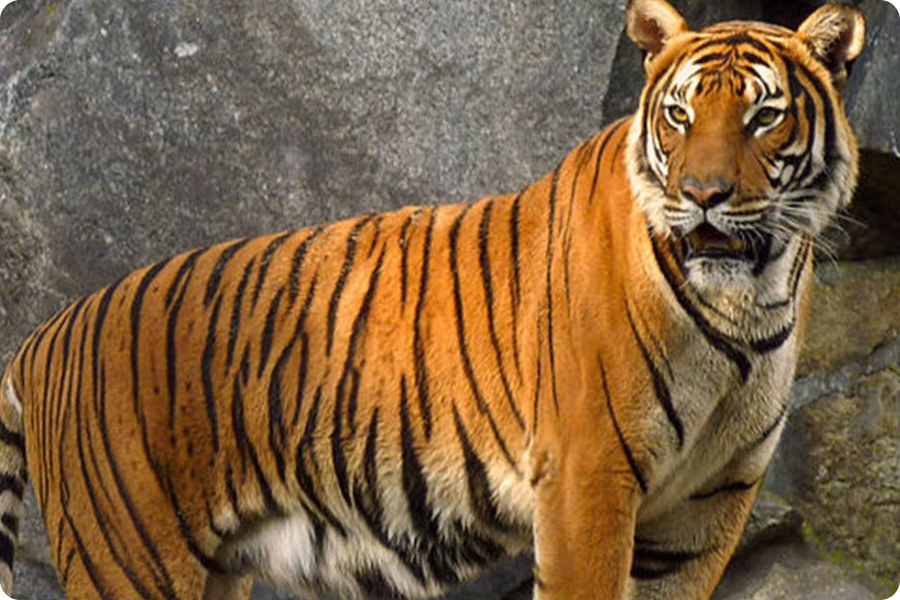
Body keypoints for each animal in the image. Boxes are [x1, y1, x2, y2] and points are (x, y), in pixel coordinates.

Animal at [0, 0, 864, 598]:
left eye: (762, 116)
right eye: (681, 115)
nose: (702, 196)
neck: (748, 307)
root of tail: (42, 336)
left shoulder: (706, 506)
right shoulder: (587, 480)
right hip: (130, 559)